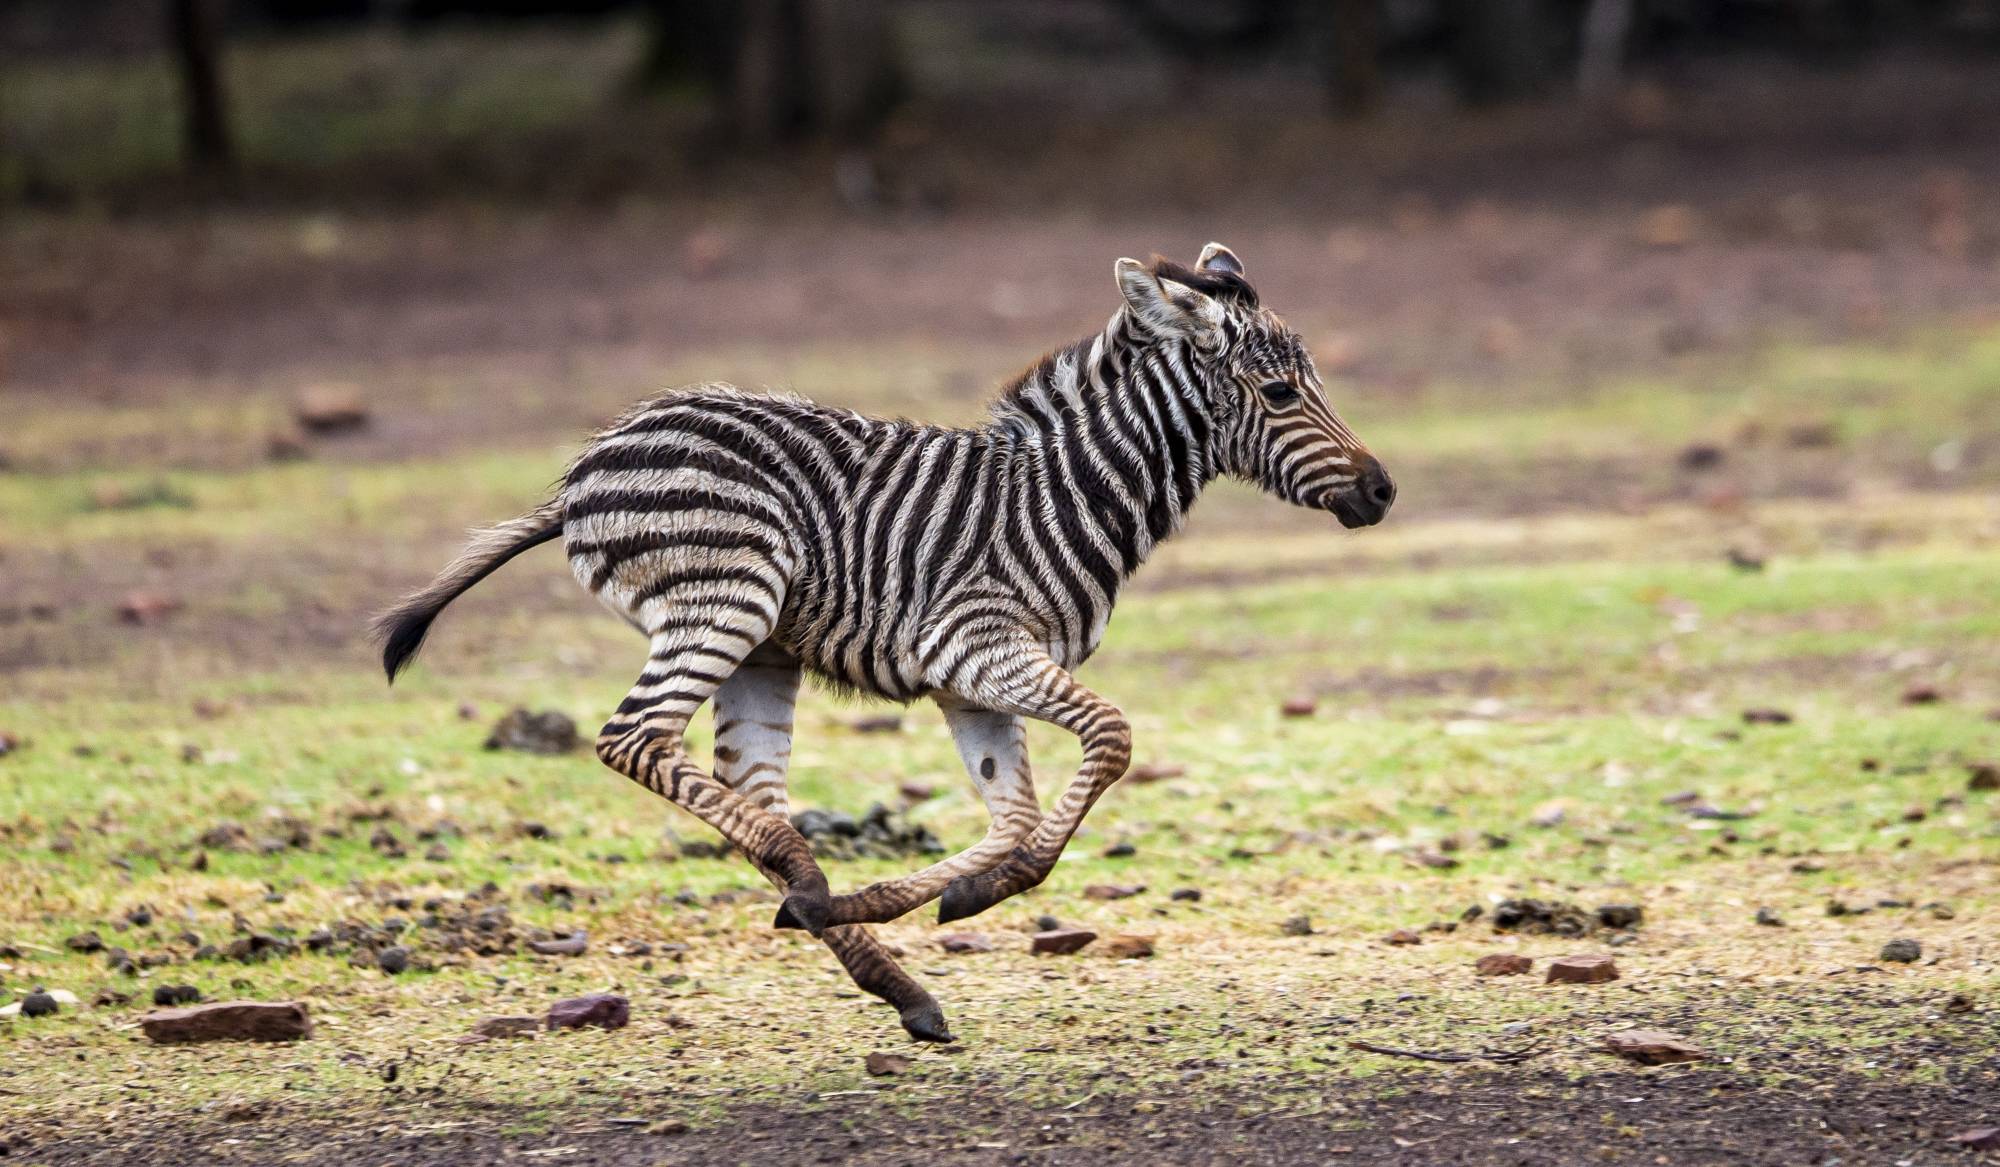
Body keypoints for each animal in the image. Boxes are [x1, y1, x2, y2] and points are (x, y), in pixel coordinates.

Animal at [382, 243, 1400, 1039]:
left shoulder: (972, 685)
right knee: (635, 740)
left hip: (760, 650)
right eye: (1280, 392)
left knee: (749, 788)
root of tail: (587, 465)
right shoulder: (973, 645)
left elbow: (1014, 819)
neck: (1069, 495)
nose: (1383, 490)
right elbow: (1110, 739)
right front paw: (965, 890)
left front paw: (961, 895)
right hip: (726, 603)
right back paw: (808, 881)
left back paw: (868, 952)